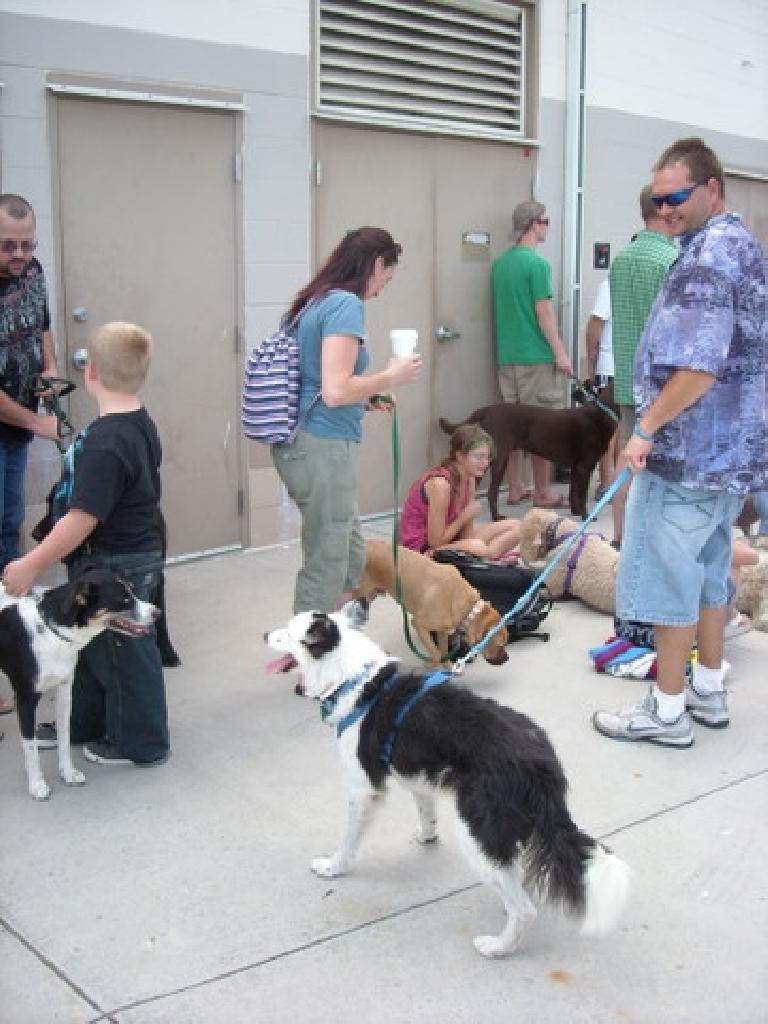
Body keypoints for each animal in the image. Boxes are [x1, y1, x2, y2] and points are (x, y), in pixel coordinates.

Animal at [0, 569, 159, 798]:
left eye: (132, 591)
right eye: (124, 600)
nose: (158, 613)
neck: (51, 633)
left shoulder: (65, 690)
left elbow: (64, 737)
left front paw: (68, 773)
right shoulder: (25, 699)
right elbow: (30, 748)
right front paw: (37, 784)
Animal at [264, 602, 630, 954]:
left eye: (288, 631)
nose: (265, 634)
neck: (353, 678)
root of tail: (540, 764)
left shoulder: (362, 788)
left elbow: (349, 840)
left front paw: (333, 867)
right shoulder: (418, 776)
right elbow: (426, 812)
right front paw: (427, 836)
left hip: (477, 832)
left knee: (524, 908)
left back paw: (497, 947)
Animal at [354, 540, 512, 667]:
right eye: (500, 645)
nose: (507, 659)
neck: (469, 608)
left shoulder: (442, 630)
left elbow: (443, 651)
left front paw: (448, 668)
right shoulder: (418, 624)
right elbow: (436, 653)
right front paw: (431, 664)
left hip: (370, 595)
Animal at [442, 380, 618, 520]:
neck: (602, 413)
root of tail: (487, 410)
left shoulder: (576, 467)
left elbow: (573, 491)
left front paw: (575, 512)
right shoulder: (585, 466)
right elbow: (582, 495)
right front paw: (587, 516)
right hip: (498, 459)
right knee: (490, 492)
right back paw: (495, 517)